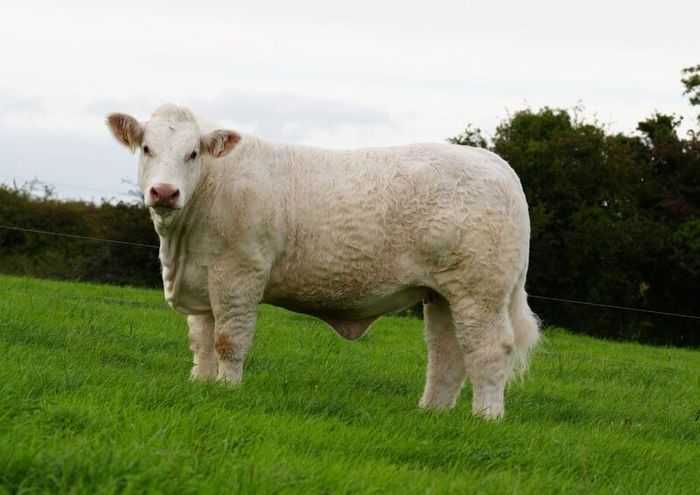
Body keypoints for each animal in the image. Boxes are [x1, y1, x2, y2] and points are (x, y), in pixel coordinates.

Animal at [106, 103, 539, 419]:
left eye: (192, 153)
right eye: (147, 148)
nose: (165, 191)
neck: (181, 246)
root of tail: (498, 165)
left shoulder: (239, 273)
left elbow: (229, 340)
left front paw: (228, 389)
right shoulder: (203, 280)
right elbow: (201, 341)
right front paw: (201, 384)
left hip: (479, 290)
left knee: (488, 349)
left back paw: (486, 417)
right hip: (442, 293)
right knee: (446, 354)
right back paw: (431, 413)